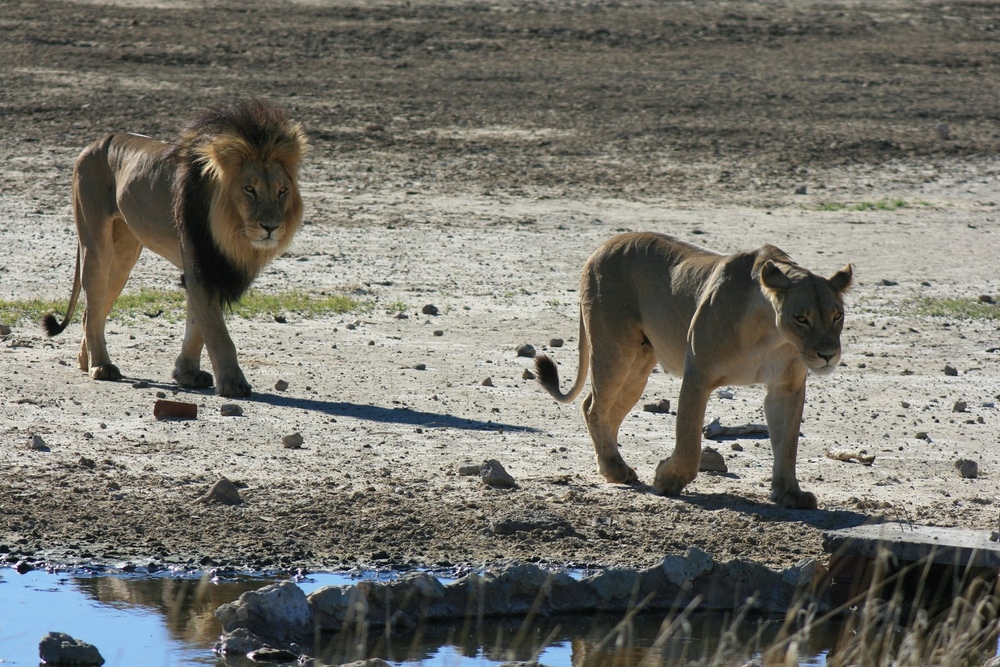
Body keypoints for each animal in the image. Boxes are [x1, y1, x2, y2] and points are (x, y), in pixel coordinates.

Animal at [43, 98, 306, 396]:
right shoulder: (199, 267)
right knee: (94, 303)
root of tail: (96, 142)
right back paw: (101, 366)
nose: (271, 227)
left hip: (123, 257)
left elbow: (197, 325)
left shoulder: (206, 268)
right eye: (250, 189)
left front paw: (187, 373)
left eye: (282, 191)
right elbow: (217, 332)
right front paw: (233, 382)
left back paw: (85, 360)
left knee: (92, 312)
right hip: (95, 246)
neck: (232, 232)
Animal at [536, 232, 856, 508]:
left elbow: (787, 443)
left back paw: (617, 466)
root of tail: (603, 245)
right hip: (614, 351)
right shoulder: (697, 374)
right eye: (802, 319)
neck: (771, 335)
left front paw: (790, 493)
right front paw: (667, 480)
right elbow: (689, 441)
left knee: (607, 413)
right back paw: (614, 470)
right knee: (593, 408)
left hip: (637, 367)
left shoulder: (786, 387)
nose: (828, 355)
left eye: (837, 316)